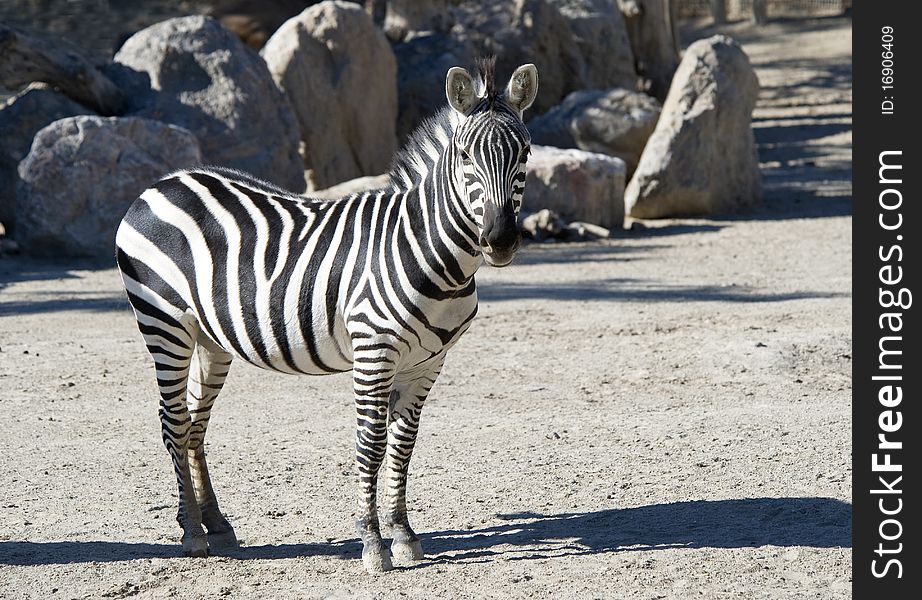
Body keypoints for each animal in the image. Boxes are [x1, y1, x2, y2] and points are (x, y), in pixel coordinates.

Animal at [112, 58, 536, 576]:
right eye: (464, 156)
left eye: (525, 152)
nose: (500, 240)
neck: (434, 256)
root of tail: (162, 182)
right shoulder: (374, 350)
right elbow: (371, 443)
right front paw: (373, 543)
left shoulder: (427, 363)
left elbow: (403, 445)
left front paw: (404, 535)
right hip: (164, 324)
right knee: (172, 419)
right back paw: (192, 533)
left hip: (210, 337)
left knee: (195, 423)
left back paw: (214, 524)